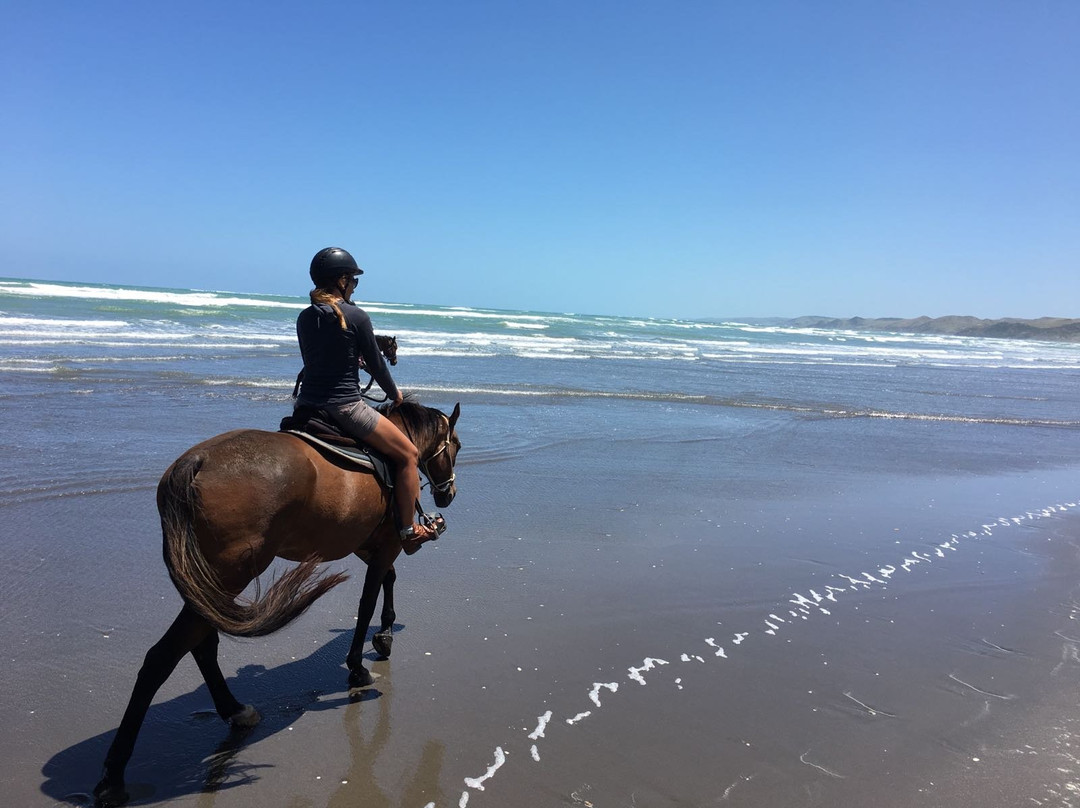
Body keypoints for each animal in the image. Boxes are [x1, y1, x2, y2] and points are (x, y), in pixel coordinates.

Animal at [93, 399, 461, 807]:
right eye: (457, 446)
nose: (448, 493)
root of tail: (197, 462)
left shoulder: (367, 544)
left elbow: (388, 582)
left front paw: (384, 637)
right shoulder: (388, 543)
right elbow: (368, 601)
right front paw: (359, 665)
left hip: (207, 584)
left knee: (201, 644)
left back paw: (235, 711)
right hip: (229, 575)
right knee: (163, 657)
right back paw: (114, 774)